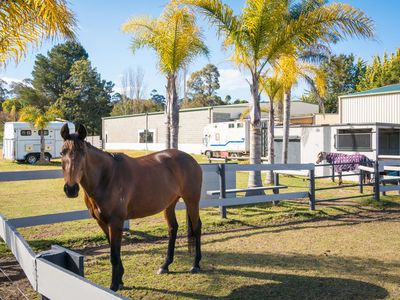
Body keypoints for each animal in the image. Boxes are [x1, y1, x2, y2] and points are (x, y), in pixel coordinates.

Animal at [60, 123, 203, 290]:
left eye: (83, 153)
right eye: (62, 152)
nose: (71, 189)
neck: (106, 177)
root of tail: (191, 159)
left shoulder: (116, 222)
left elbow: (114, 256)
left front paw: (113, 286)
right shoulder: (102, 222)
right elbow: (114, 250)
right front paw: (120, 279)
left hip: (192, 201)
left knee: (197, 227)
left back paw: (196, 265)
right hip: (169, 204)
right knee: (173, 228)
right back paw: (165, 265)